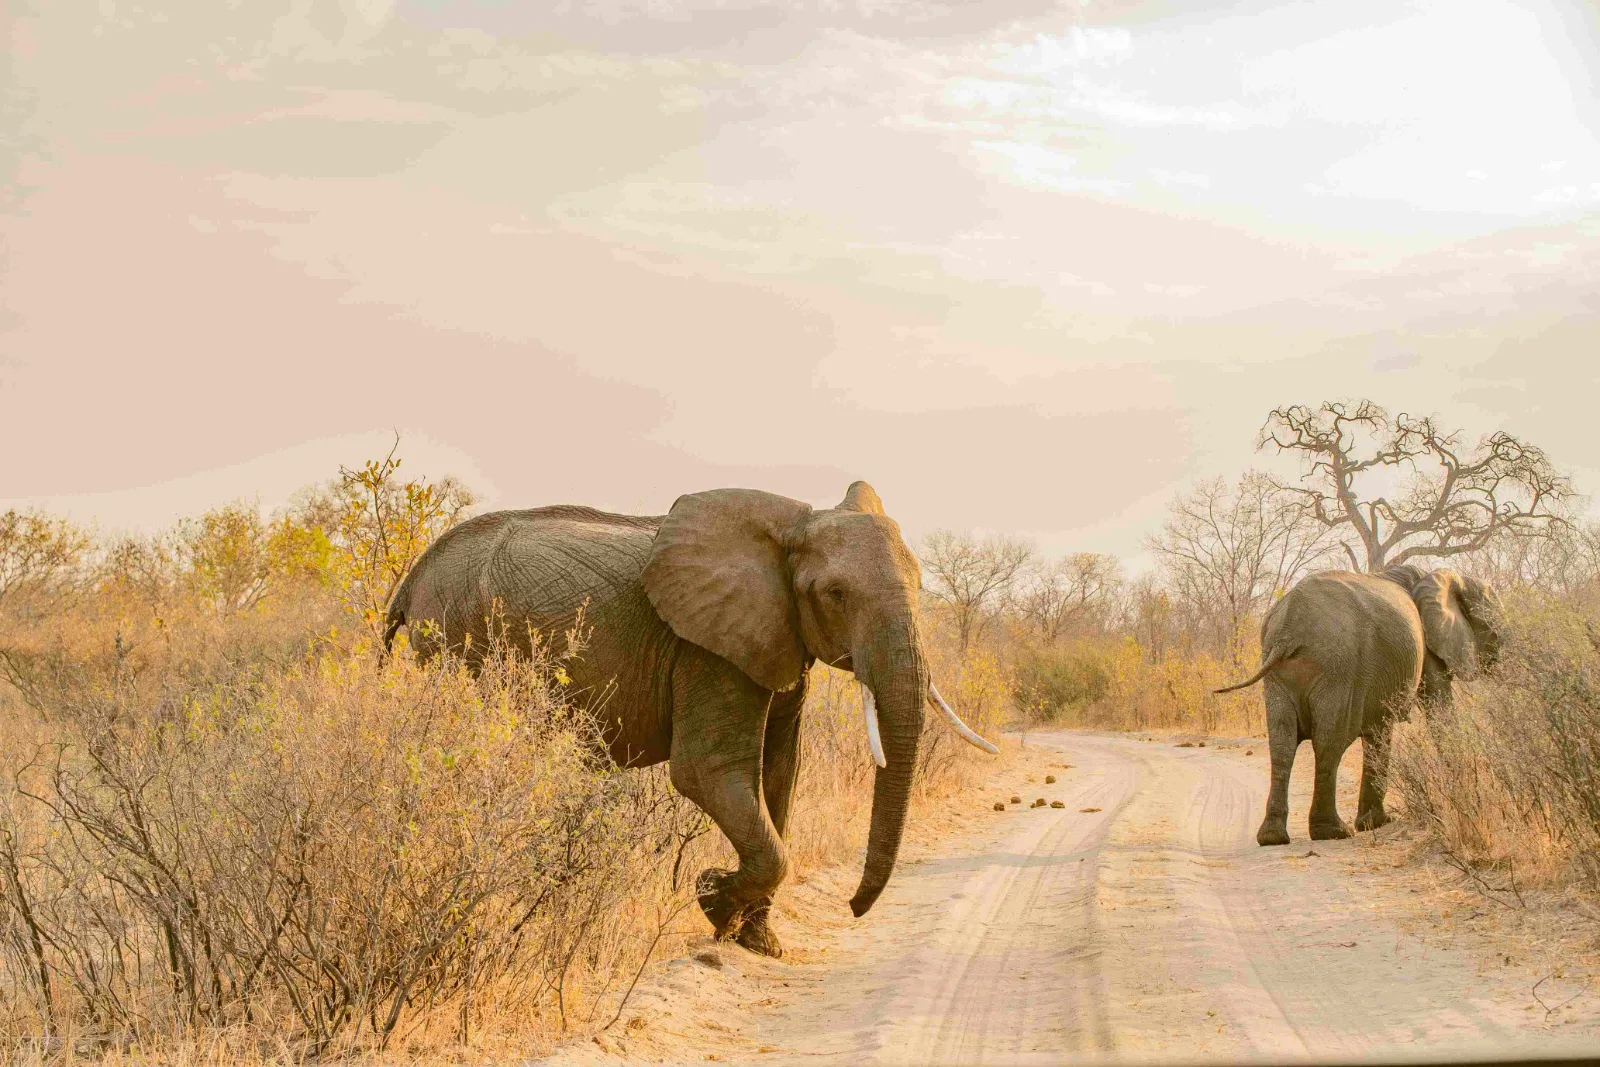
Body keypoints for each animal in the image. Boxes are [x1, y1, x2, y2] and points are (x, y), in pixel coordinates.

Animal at [381, 481, 996, 957]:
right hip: (454, 641)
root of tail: (409, 580)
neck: (792, 529)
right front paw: (713, 901)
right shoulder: (706, 647)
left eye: (920, 586)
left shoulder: (774, 634)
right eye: (836, 594)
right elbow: (708, 771)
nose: (853, 907)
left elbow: (780, 773)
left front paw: (759, 943)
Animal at [1216, 565, 1500, 847]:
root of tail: (1289, 625)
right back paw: (1333, 832)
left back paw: (1272, 838)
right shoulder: (1427, 646)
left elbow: (1379, 733)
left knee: (1282, 743)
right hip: (1339, 667)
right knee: (1329, 741)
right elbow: (1438, 707)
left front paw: (1374, 823)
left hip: (1277, 672)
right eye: (1494, 629)